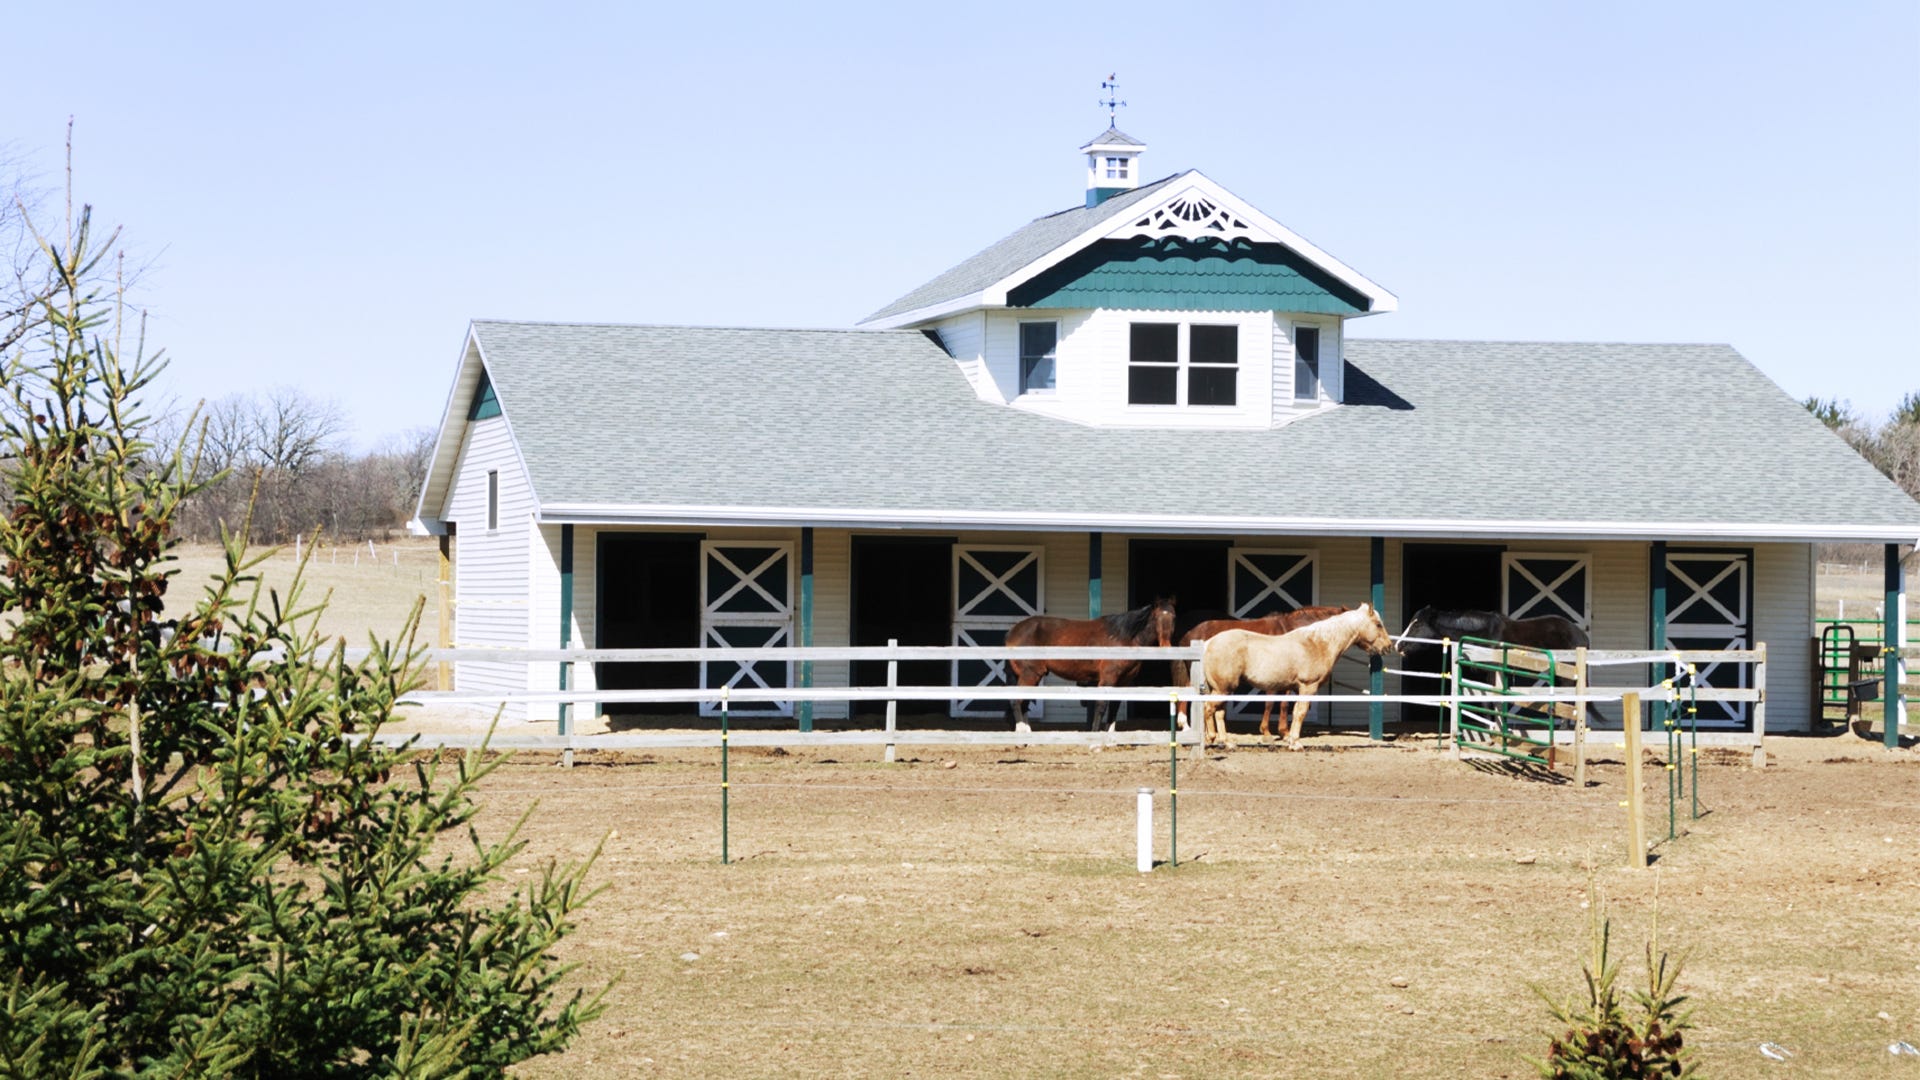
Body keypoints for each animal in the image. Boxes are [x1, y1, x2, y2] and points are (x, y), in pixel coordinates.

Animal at [1013, 595, 1175, 730]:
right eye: (1156, 617)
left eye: (1174, 616)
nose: (1166, 646)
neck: (1124, 638)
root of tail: (1014, 631)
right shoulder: (1107, 679)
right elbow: (1101, 706)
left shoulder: (1123, 681)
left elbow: (1114, 708)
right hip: (1030, 675)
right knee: (1016, 702)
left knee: (1024, 704)